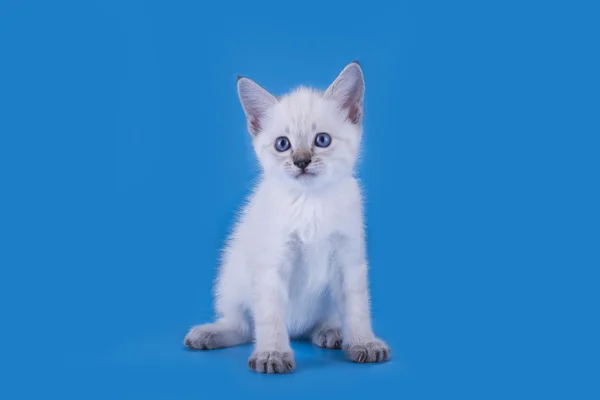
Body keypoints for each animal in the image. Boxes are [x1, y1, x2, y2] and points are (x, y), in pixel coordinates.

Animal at [185, 61, 392, 374]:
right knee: (243, 325)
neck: (311, 201)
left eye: (322, 140)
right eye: (283, 144)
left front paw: (364, 343)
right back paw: (208, 334)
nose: (301, 161)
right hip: (230, 280)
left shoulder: (349, 260)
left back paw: (330, 332)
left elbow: (357, 309)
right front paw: (273, 354)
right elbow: (270, 317)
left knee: (315, 323)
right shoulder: (272, 265)